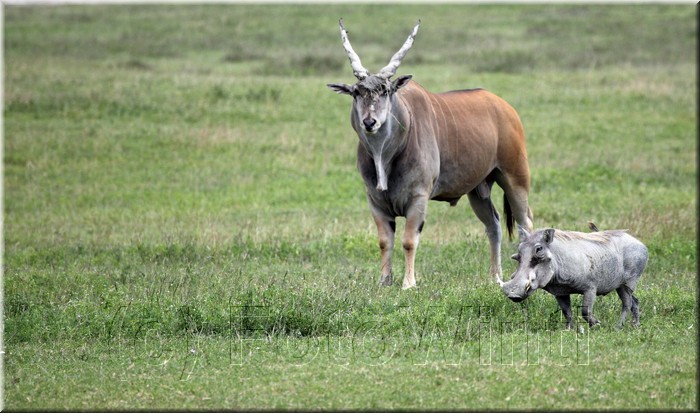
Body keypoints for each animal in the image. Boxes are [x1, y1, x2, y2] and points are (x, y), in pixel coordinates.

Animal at [326, 19, 532, 288]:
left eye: (386, 91)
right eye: (357, 92)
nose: (370, 122)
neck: (386, 155)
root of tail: (505, 107)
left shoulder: (418, 198)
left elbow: (408, 241)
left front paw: (408, 283)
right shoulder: (375, 201)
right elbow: (384, 242)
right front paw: (384, 282)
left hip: (515, 178)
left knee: (525, 225)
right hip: (478, 190)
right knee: (494, 225)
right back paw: (494, 278)